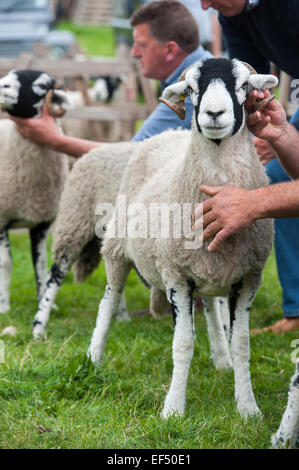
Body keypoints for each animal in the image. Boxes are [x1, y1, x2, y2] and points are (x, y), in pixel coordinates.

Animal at [0, 68, 69, 314]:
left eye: (41, 85)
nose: (0, 86)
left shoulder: (41, 223)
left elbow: (40, 264)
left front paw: (43, 302)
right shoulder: (2, 219)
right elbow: (5, 263)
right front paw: (4, 306)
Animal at [87, 58, 278, 418]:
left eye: (244, 85)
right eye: (191, 89)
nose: (214, 113)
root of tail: (169, 134)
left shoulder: (248, 278)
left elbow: (242, 344)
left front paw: (248, 407)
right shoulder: (176, 277)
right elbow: (183, 344)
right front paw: (173, 409)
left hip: (208, 270)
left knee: (211, 308)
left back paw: (221, 360)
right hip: (117, 249)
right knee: (108, 300)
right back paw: (93, 358)